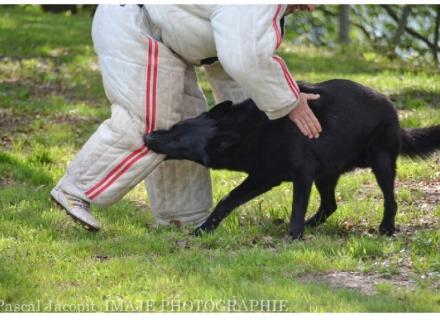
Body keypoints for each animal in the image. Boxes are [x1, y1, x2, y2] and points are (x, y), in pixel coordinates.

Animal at [145, 79, 440, 239]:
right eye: (174, 127)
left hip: (381, 164)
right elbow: (227, 200)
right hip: (326, 175)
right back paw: (314, 225)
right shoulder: (262, 177)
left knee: (390, 200)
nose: (147, 137)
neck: (249, 131)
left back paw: (386, 227)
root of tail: (390, 107)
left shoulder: (301, 175)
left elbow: (297, 207)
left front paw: (294, 235)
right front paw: (205, 229)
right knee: (330, 205)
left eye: (178, 140)